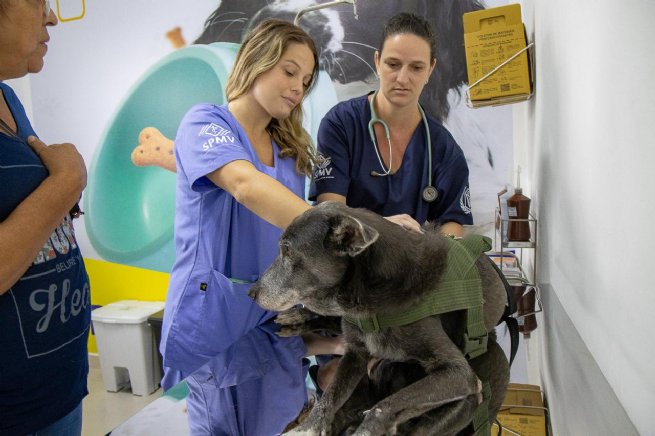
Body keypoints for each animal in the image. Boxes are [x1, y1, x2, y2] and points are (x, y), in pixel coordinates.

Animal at [249, 203, 510, 434]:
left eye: (287, 250)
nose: (251, 292)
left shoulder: (460, 373)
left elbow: (384, 406)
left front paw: (366, 429)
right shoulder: (355, 354)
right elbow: (330, 397)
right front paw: (305, 428)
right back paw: (297, 317)